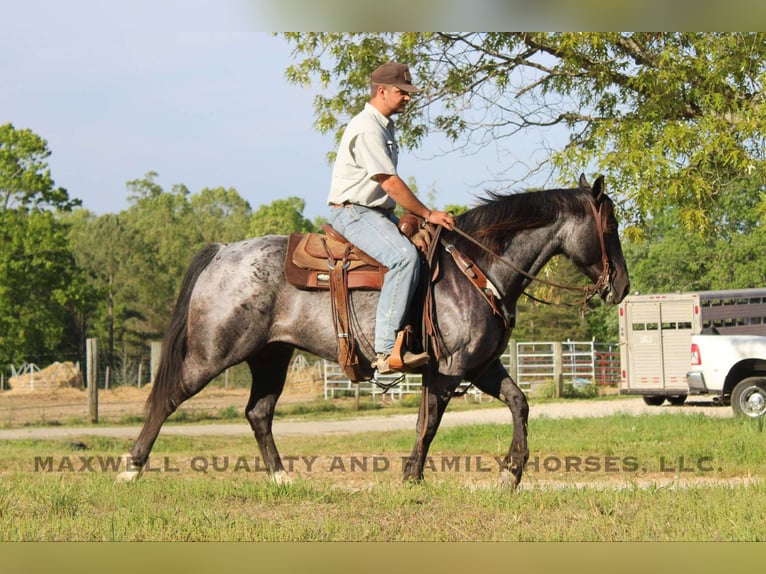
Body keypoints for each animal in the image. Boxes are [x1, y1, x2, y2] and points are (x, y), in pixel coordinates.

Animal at [116, 173, 630, 488]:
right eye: (611, 226)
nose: (622, 286)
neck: (476, 267)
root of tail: (224, 252)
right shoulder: (449, 369)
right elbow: (429, 422)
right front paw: (412, 476)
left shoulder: (479, 365)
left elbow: (519, 404)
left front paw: (511, 474)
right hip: (213, 352)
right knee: (166, 398)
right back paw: (131, 468)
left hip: (272, 356)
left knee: (258, 413)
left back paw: (282, 477)